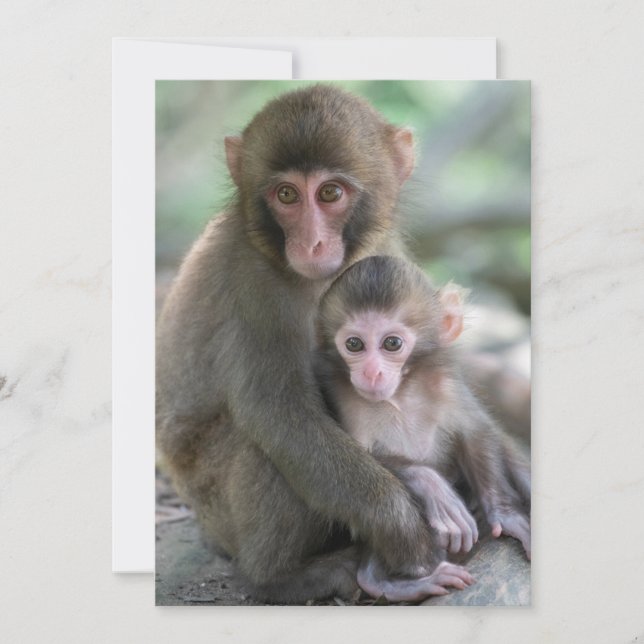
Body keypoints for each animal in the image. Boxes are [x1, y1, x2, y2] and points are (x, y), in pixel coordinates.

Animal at [156, 84, 449, 604]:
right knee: (265, 444)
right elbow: (281, 415)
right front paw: (403, 532)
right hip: (216, 506)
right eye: (286, 195)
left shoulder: (383, 252)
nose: (311, 243)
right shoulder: (253, 284)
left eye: (329, 193)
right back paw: (280, 577)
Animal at [316, 255, 531, 602]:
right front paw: (432, 487)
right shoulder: (343, 396)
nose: (371, 373)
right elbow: (351, 457)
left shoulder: (446, 385)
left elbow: (475, 432)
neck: (400, 395)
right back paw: (389, 581)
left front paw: (506, 514)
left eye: (392, 343)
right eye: (354, 344)